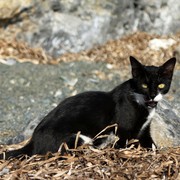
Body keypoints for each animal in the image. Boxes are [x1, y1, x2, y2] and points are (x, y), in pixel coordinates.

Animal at [0, 56, 176, 159]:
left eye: (161, 85)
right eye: (144, 85)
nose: (152, 95)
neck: (144, 104)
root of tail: (32, 142)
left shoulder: (144, 130)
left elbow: (151, 144)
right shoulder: (124, 130)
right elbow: (126, 143)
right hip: (78, 137)